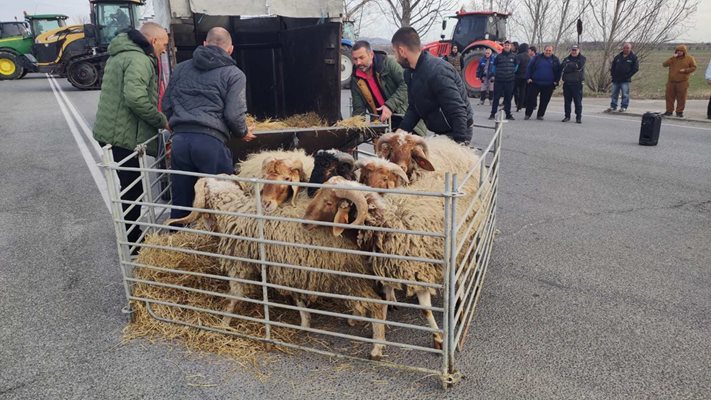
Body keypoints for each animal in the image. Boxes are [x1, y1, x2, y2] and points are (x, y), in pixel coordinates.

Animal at [168, 175, 390, 360]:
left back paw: (377, 348)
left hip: (349, 275)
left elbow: (235, 296)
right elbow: (298, 298)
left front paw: (223, 324)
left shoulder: (239, 263)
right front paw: (305, 322)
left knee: (378, 304)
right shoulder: (290, 268)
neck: (234, 209)